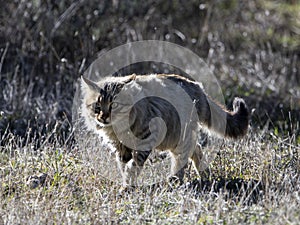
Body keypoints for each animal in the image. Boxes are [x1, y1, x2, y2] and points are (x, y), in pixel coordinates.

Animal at [80, 74, 248, 187]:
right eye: (97, 106)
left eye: (114, 105)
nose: (103, 117)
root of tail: (197, 87)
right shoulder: (120, 148)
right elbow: (124, 166)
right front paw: (126, 183)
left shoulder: (146, 138)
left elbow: (134, 165)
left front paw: (128, 186)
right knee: (196, 149)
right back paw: (204, 175)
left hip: (178, 136)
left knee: (184, 156)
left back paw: (176, 180)